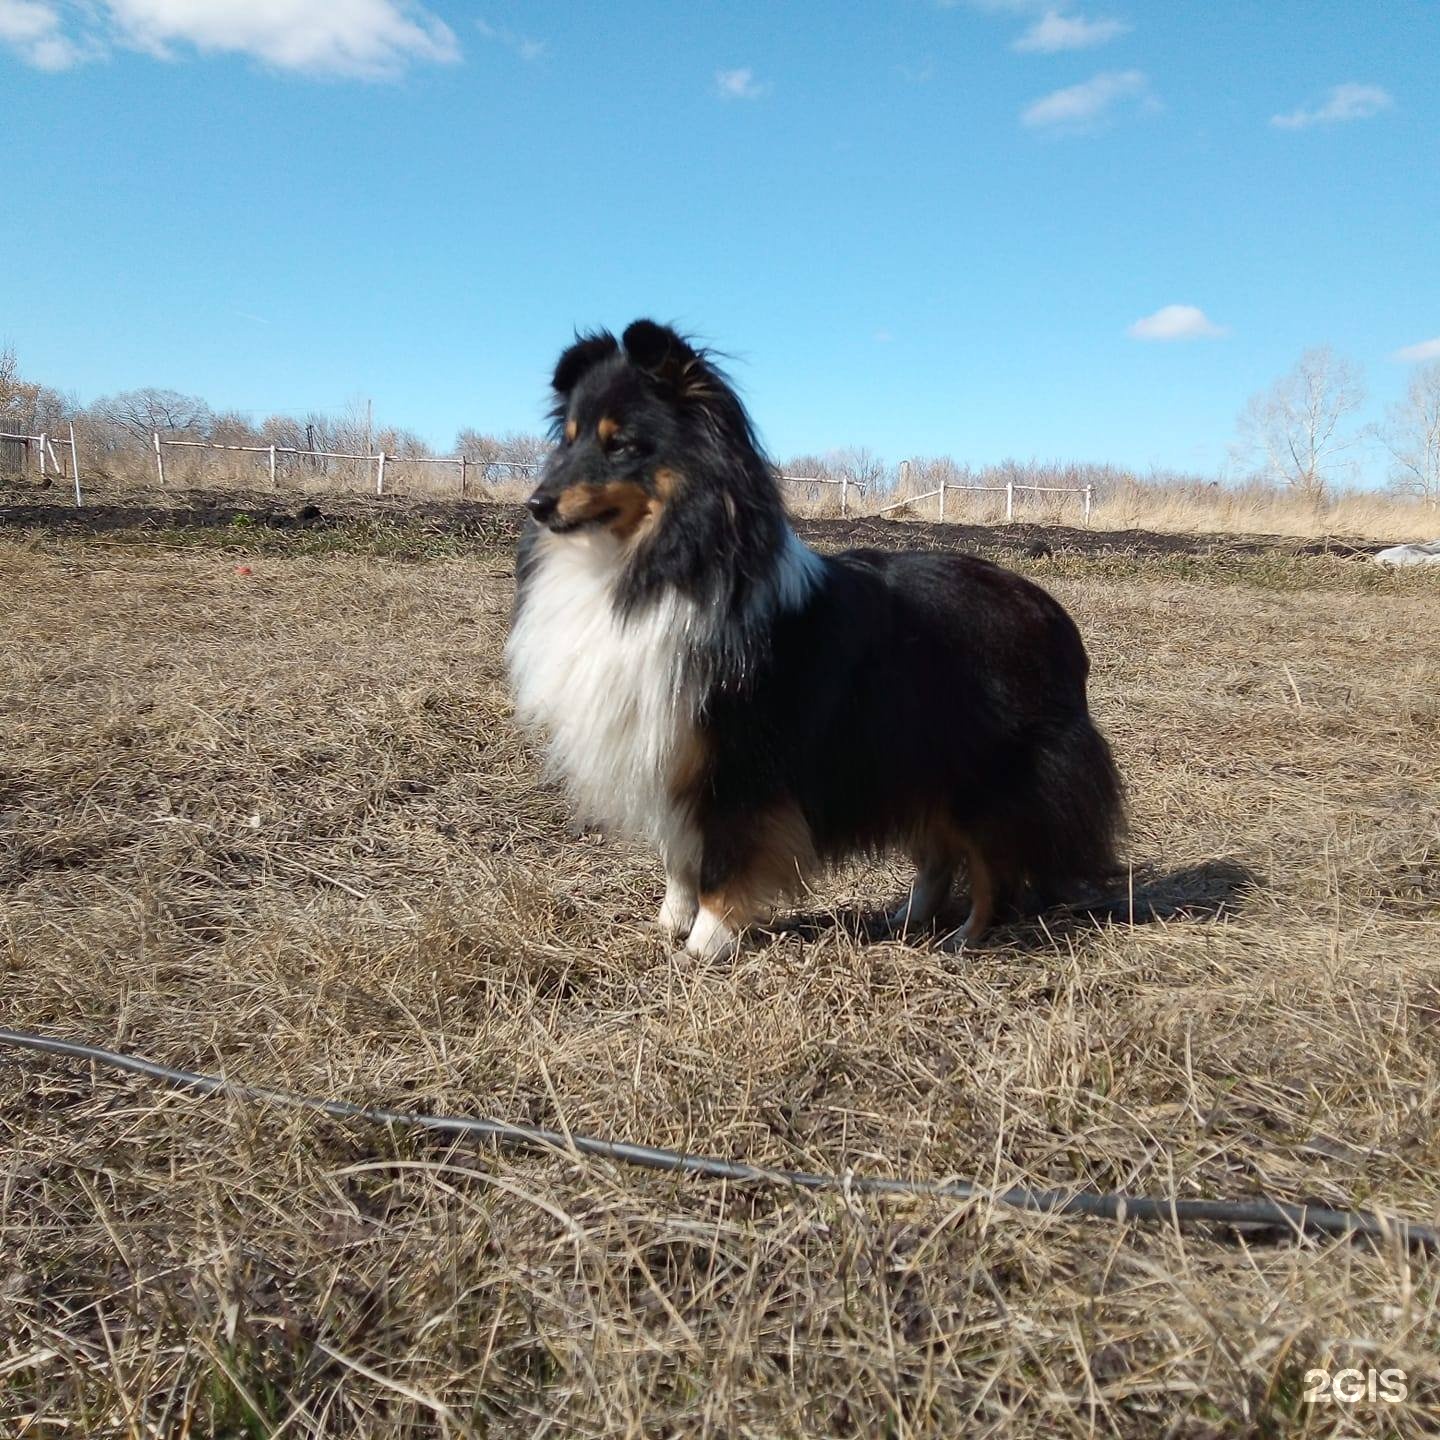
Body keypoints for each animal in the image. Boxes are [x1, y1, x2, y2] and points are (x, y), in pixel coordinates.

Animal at [506, 321, 1123, 961]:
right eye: (569, 439)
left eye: (621, 445)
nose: (536, 504)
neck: (652, 565)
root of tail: (1053, 616)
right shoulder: (670, 748)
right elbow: (679, 852)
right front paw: (671, 921)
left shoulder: (740, 762)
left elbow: (722, 860)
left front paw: (705, 943)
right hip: (913, 762)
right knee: (939, 853)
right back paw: (908, 919)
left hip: (982, 776)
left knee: (992, 865)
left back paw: (964, 937)